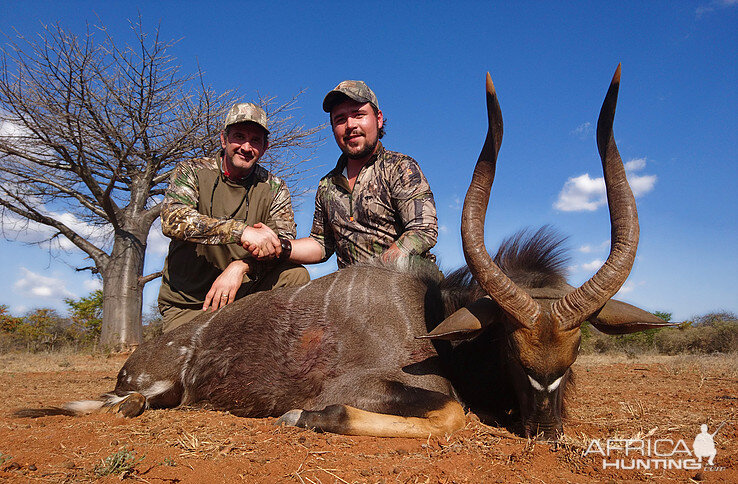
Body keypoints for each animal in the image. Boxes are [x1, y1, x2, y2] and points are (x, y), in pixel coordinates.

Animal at [14, 66, 668, 440]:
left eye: (577, 349)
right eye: (509, 342)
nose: (545, 430)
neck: (429, 318)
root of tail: (145, 354)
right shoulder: (375, 386)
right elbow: (449, 414)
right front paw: (300, 416)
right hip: (155, 388)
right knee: (121, 403)